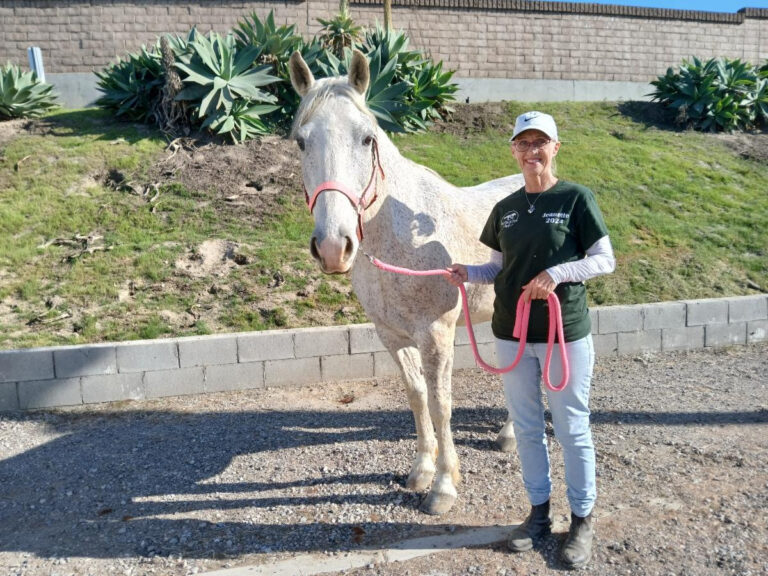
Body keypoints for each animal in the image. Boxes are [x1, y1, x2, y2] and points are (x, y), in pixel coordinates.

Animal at [288, 49, 524, 515]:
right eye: (302, 141)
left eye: (366, 139)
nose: (333, 246)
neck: (399, 234)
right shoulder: (392, 336)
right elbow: (416, 397)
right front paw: (422, 471)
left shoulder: (436, 334)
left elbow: (440, 403)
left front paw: (445, 486)